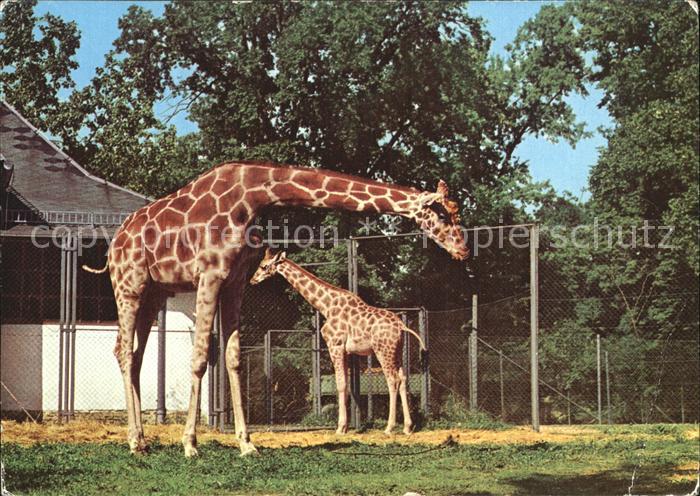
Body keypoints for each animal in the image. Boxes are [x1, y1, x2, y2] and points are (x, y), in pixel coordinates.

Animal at [251, 250, 426, 435]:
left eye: (263, 266)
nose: (252, 280)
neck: (326, 306)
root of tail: (401, 326)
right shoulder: (346, 351)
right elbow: (346, 385)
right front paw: (345, 426)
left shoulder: (334, 345)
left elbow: (340, 384)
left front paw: (340, 427)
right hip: (397, 351)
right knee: (403, 379)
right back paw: (407, 427)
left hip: (383, 350)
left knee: (392, 380)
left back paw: (389, 427)